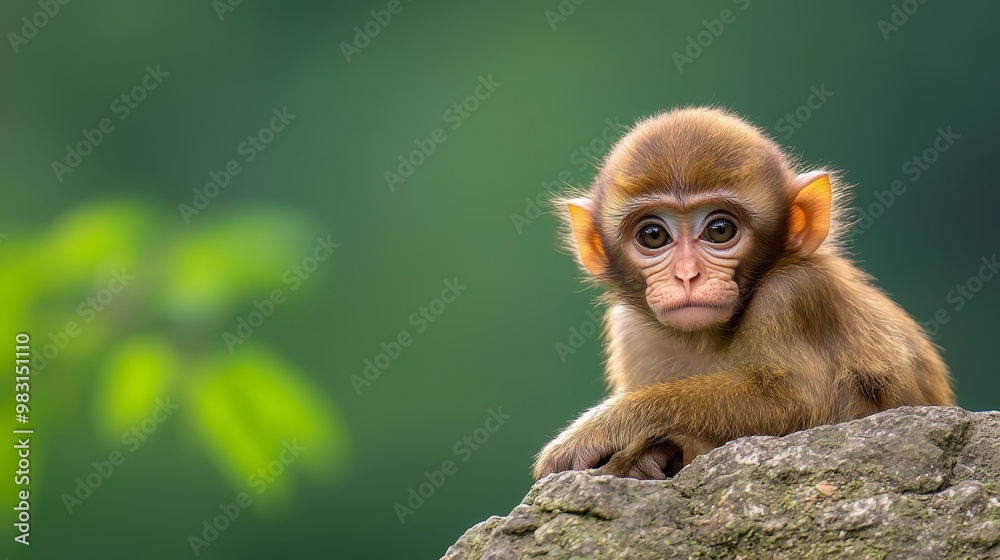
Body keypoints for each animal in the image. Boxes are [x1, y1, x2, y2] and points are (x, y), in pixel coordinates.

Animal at [533, 106, 955, 481]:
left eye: (720, 230)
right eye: (652, 235)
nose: (687, 275)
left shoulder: (795, 292)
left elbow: (800, 401)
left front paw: (603, 429)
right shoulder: (628, 329)